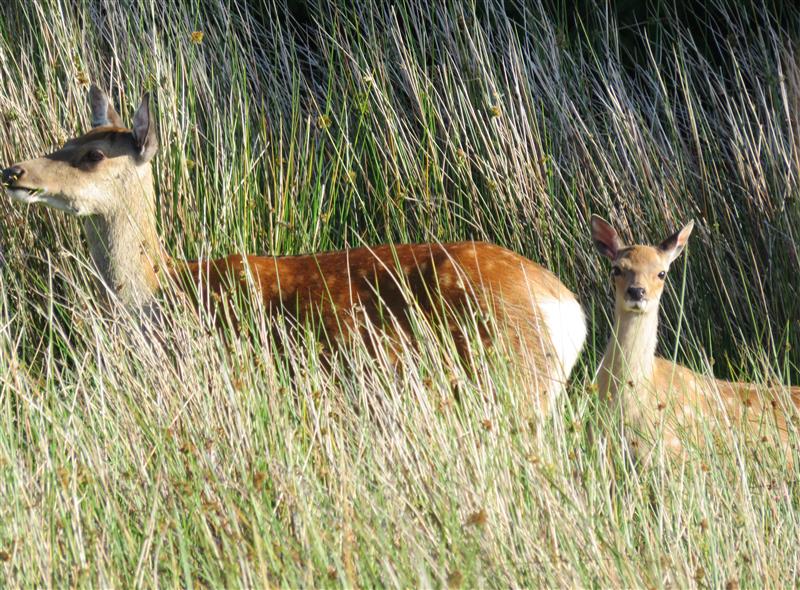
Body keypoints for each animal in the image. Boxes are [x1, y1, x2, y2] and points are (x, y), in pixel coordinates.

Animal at [1, 85, 588, 412]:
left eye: (94, 154)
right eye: (68, 139)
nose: (15, 171)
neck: (162, 289)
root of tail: (570, 310)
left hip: (516, 383)